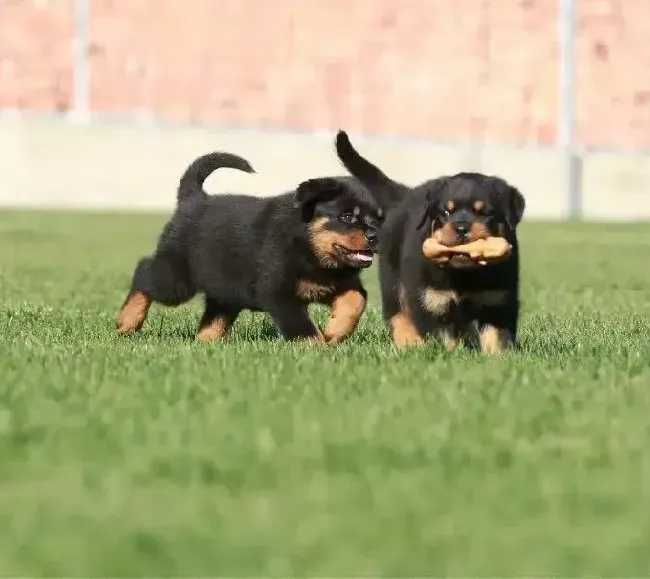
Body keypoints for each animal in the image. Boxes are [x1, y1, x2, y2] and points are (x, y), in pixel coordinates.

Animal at [116, 152, 382, 346]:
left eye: (379, 218)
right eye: (347, 216)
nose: (374, 236)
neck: (308, 246)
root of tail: (193, 200)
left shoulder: (342, 282)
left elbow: (357, 300)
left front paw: (334, 331)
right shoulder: (278, 292)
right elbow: (302, 328)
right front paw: (317, 348)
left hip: (224, 289)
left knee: (213, 320)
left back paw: (207, 342)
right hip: (177, 280)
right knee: (144, 272)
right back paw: (127, 322)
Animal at [332, 130, 524, 354]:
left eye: (484, 213)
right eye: (446, 212)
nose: (461, 228)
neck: (464, 275)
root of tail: (404, 197)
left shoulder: (497, 300)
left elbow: (496, 337)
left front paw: (497, 356)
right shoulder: (431, 301)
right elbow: (444, 338)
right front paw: (450, 355)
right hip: (392, 282)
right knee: (398, 314)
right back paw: (408, 344)